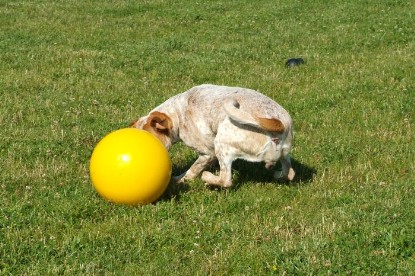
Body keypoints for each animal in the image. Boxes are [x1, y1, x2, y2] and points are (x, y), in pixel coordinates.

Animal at [131, 84, 296, 188]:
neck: (176, 113)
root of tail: (278, 123)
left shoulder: (207, 153)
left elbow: (192, 171)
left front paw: (179, 180)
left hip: (222, 142)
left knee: (225, 180)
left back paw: (207, 177)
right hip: (284, 153)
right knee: (289, 173)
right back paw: (278, 174)